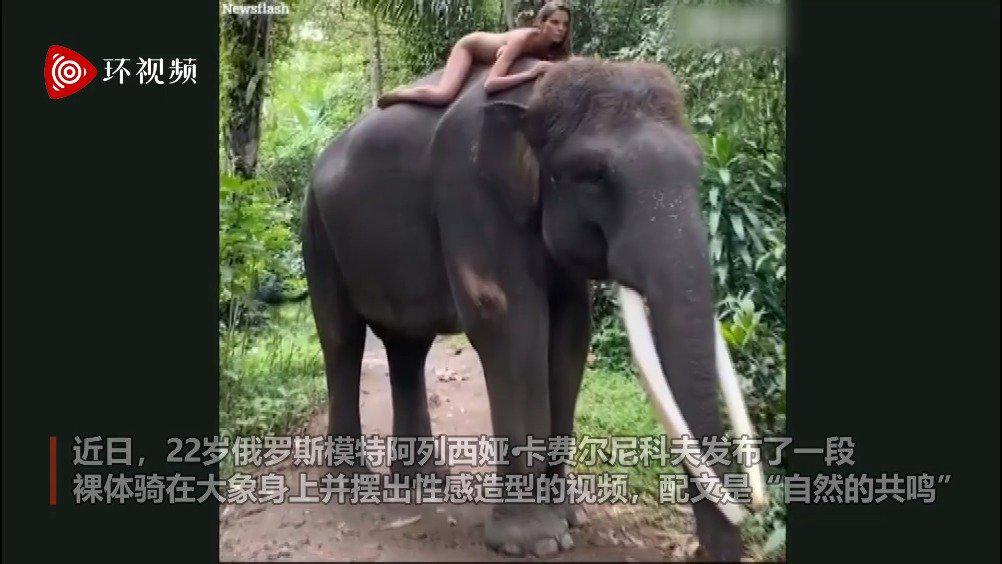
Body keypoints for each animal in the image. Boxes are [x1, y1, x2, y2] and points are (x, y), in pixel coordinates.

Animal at [301, 55, 766, 560]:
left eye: (699, 170)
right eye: (595, 176)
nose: (700, 550)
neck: (535, 91)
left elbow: (570, 333)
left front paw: (568, 518)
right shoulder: (469, 190)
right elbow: (513, 324)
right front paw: (536, 541)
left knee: (408, 346)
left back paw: (422, 482)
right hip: (316, 231)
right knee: (342, 339)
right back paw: (351, 487)